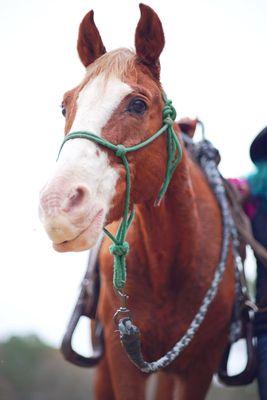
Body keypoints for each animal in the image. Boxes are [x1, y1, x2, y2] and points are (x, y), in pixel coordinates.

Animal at [38, 3, 236, 400]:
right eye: (65, 106)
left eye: (138, 104)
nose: (57, 203)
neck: (170, 264)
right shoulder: (123, 360)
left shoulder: (199, 368)